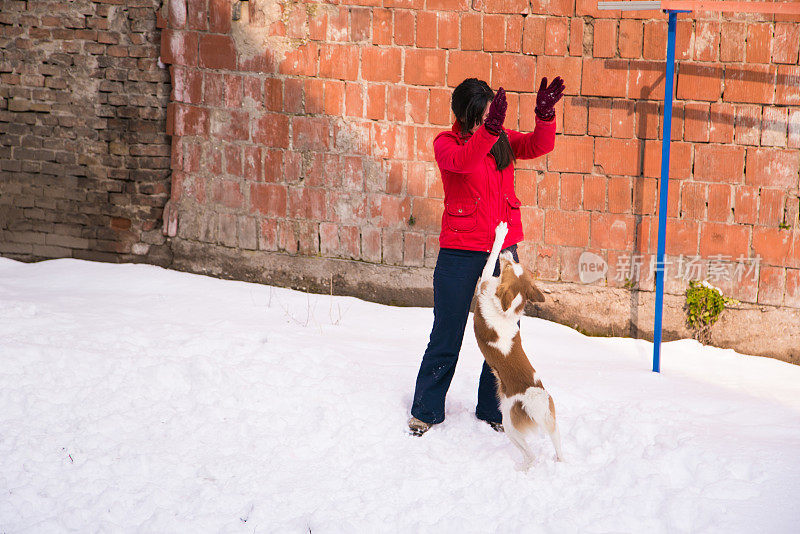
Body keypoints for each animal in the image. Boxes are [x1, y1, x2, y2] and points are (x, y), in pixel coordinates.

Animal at [472, 222, 564, 468]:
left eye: (507, 266)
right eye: (514, 264)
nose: (508, 252)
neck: (505, 311)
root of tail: (534, 398)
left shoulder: (483, 283)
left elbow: (489, 260)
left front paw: (500, 234)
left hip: (510, 426)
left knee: (530, 455)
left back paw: (520, 469)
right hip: (552, 421)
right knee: (558, 446)